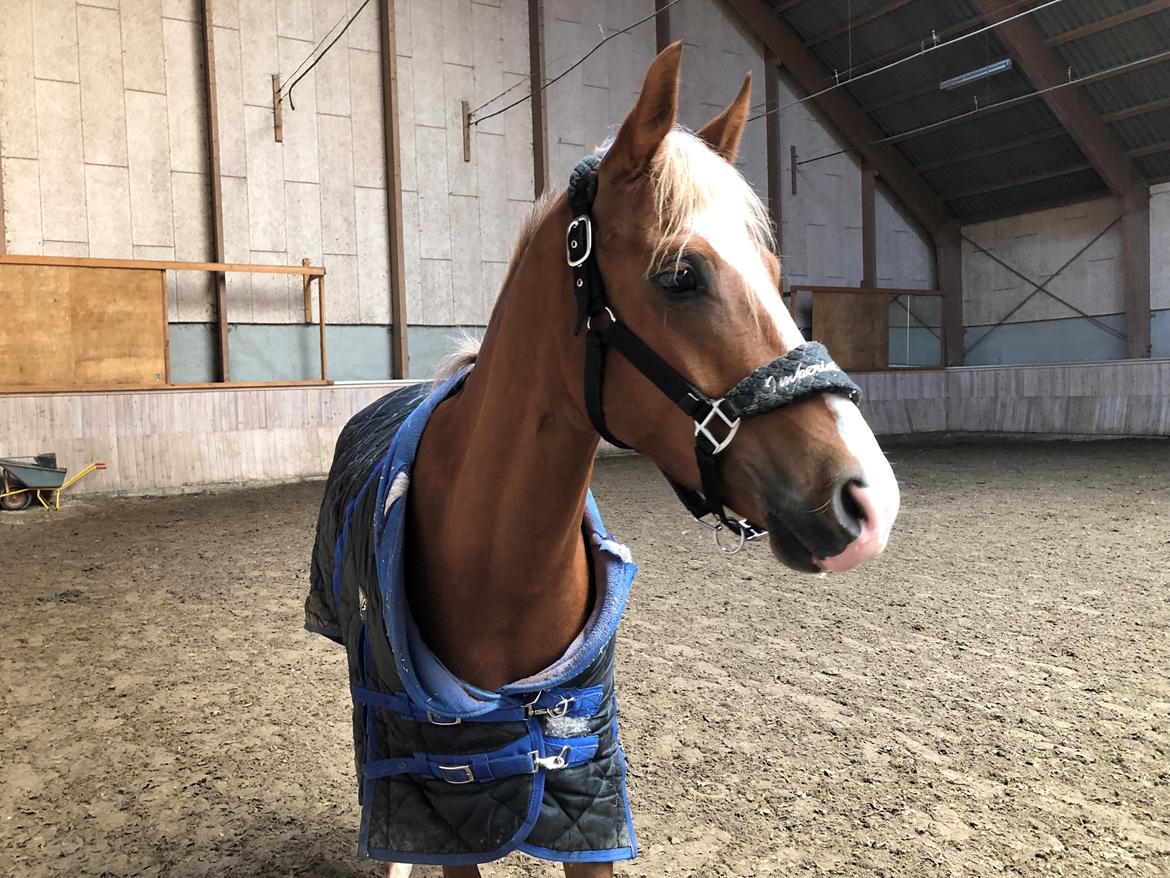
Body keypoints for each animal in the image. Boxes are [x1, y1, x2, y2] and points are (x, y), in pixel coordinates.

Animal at [306, 42, 899, 878]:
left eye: (778, 277)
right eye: (680, 276)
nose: (869, 498)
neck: (496, 566)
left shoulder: (586, 799)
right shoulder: (452, 807)